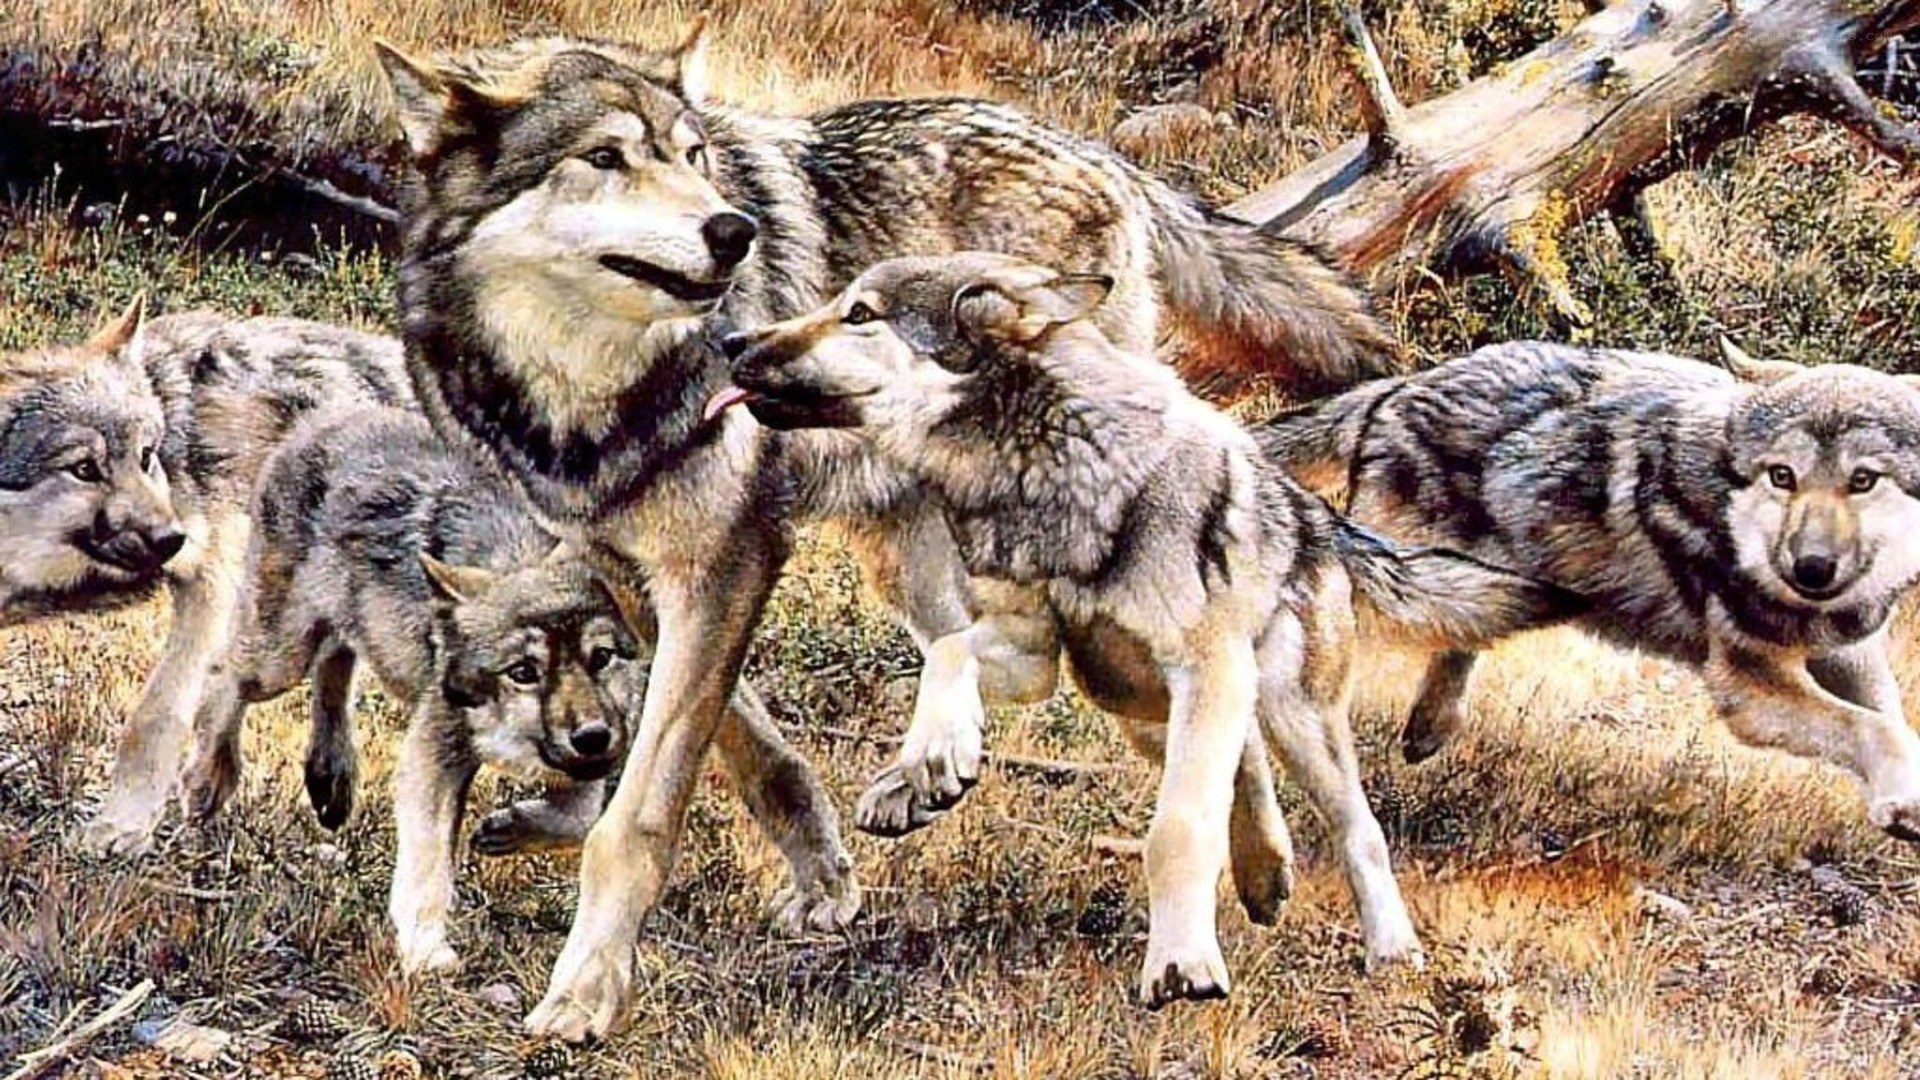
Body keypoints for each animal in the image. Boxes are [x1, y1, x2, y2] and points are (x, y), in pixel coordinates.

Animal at [175, 406, 852, 971]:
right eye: (522, 671)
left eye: (602, 658)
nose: (592, 736)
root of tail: (324, 417)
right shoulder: (437, 747)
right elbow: (428, 861)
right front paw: (426, 951)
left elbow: (580, 813)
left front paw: (509, 828)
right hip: (279, 654)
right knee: (226, 674)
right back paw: (206, 779)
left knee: (335, 665)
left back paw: (331, 778)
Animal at [376, 24, 1404, 1038]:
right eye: (604, 158)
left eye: (694, 156)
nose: (735, 232)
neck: (584, 401)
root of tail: (1092, 150)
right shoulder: (635, 573)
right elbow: (754, 749)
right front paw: (825, 879)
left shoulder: (726, 561)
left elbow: (636, 819)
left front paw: (583, 993)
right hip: (919, 554)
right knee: (994, 655)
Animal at [714, 252, 1585, 1006]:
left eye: (859, 314)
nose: (730, 342)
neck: (1047, 465)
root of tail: (1322, 519)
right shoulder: (1036, 654)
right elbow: (948, 652)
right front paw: (932, 758)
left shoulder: (1202, 668)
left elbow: (1179, 830)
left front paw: (1182, 963)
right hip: (1127, 700)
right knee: (1245, 762)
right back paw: (1263, 873)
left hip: (1288, 713)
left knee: (1350, 822)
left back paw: (1390, 949)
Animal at [1265, 339, 1920, 841]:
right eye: (1782, 476)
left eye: (1863, 480)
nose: (1811, 568)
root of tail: (1399, 386)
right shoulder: (1748, 686)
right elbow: (1871, 726)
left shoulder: (1852, 650)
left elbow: (1888, 716)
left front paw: (1899, 802)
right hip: (1388, 593)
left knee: (1460, 646)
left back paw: (1427, 731)